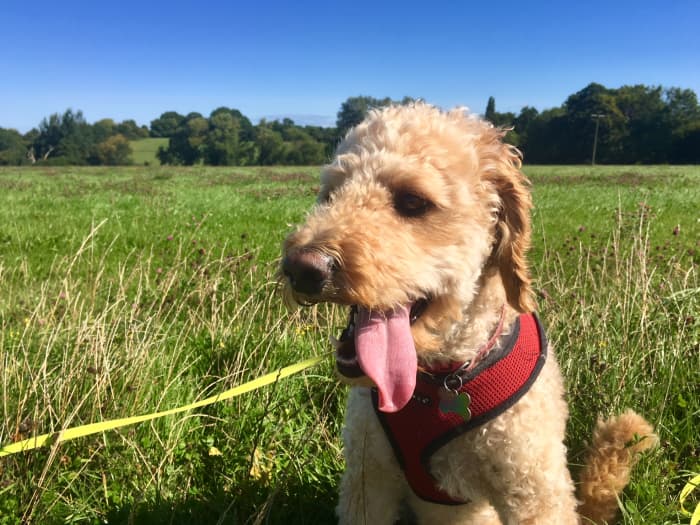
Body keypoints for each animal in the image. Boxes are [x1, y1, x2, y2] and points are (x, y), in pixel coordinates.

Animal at [280, 103, 656, 524]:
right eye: (329, 195)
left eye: (413, 201)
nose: (302, 268)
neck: (442, 378)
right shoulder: (367, 479)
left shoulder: (535, 491)